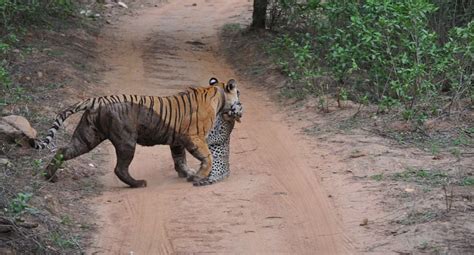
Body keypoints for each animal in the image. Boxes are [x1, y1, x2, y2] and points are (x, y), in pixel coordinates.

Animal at [30, 77, 243, 187]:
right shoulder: (194, 137)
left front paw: (187, 173)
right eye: (238, 94)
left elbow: (179, 158)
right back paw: (138, 183)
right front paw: (199, 176)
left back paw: (49, 176)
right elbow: (207, 157)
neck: (218, 95)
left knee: (63, 151)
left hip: (87, 137)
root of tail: (97, 100)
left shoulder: (177, 141)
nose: (240, 107)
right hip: (126, 142)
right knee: (120, 168)